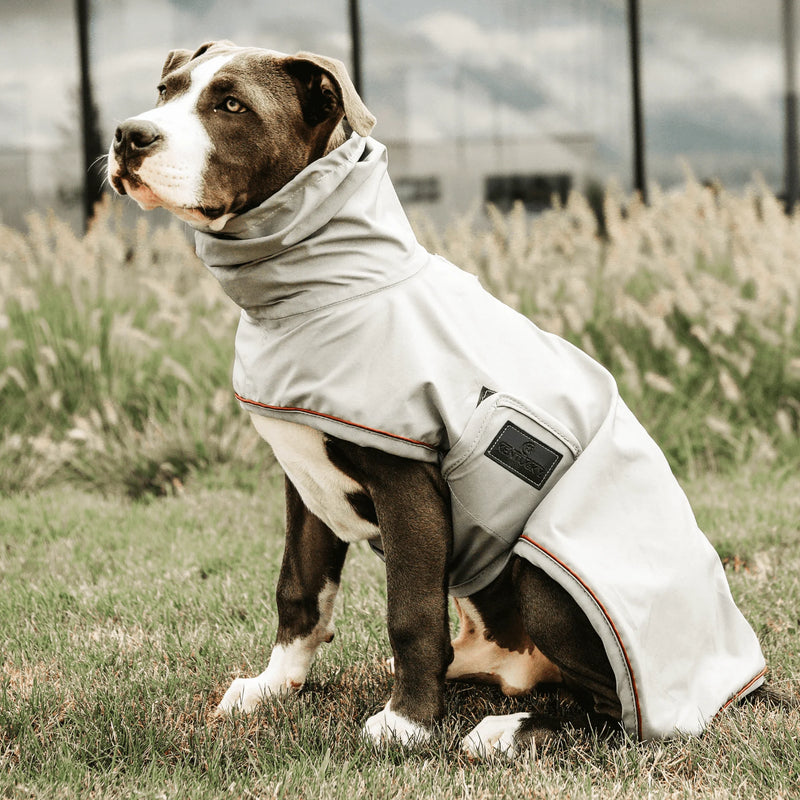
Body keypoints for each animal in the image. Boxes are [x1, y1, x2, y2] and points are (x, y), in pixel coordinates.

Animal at [108, 42, 768, 756]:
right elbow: (299, 590)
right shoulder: (304, 481)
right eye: (166, 89)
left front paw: (408, 723)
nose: (128, 135)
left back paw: (508, 729)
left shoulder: (409, 487)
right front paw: (272, 687)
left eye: (231, 105)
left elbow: (410, 613)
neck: (324, 290)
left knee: (616, 715)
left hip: (542, 568)